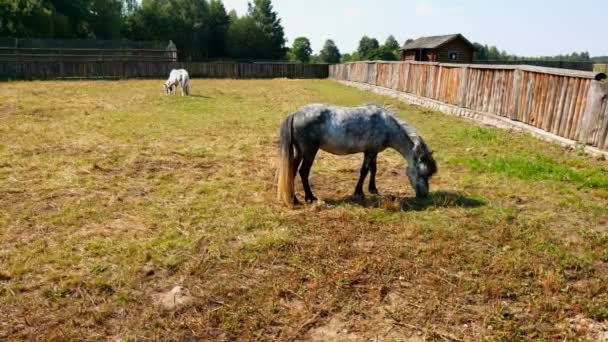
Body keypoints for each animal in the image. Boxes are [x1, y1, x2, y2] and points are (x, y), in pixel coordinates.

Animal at [276, 103, 436, 206]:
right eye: (423, 173)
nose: (424, 195)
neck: (386, 126)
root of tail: (295, 114)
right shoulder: (369, 152)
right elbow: (364, 171)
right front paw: (359, 192)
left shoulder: (373, 151)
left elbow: (373, 169)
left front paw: (373, 189)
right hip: (310, 151)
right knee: (303, 172)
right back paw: (310, 197)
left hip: (299, 151)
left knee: (292, 170)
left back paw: (294, 199)